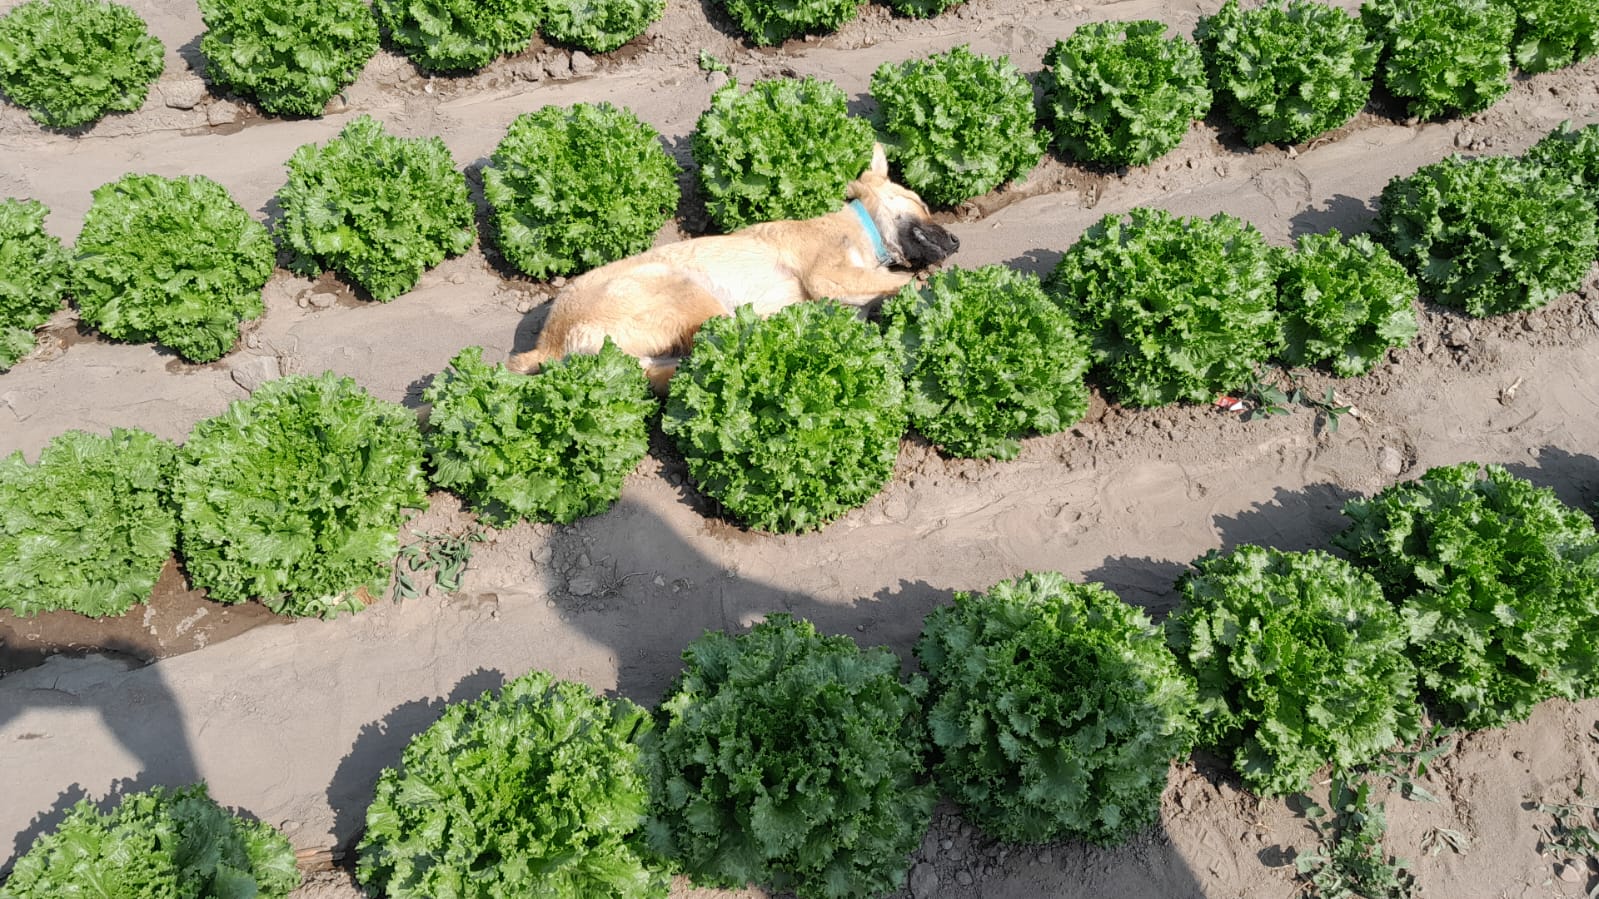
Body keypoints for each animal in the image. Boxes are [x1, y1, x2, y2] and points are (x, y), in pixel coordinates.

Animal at [505, 141, 953, 390]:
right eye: (922, 204)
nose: (957, 241)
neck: (861, 227)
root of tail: (547, 345)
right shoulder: (829, 275)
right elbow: (896, 280)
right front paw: (923, 285)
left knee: (660, 375)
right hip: (690, 292)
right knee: (715, 345)